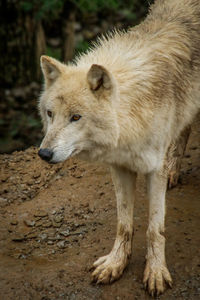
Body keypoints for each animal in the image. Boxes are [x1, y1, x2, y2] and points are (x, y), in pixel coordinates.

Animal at [38, 0, 200, 296]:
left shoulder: (153, 168)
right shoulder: (120, 167)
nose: (43, 154)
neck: (130, 115)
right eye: (50, 114)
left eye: (76, 117)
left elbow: (154, 229)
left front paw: (156, 272)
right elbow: (124, 224)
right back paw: (175, 169)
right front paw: (115, 264)